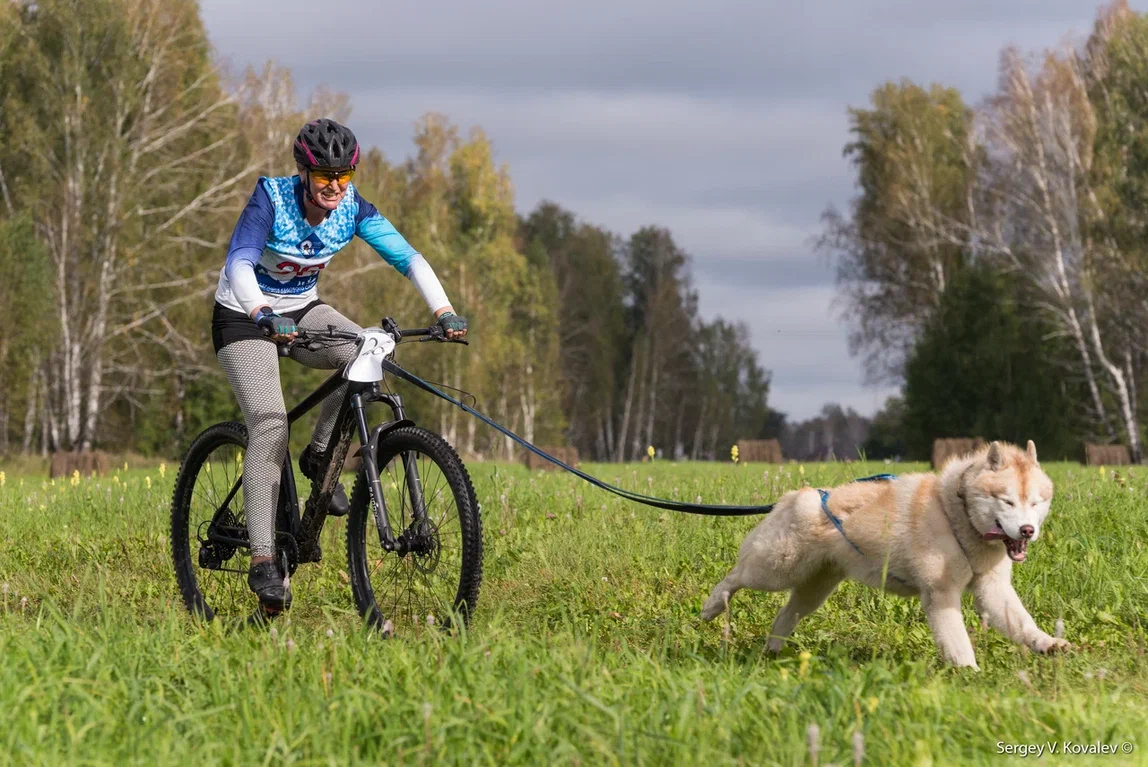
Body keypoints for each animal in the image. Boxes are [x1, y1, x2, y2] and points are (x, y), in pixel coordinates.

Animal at [697, 440, 1065, 665]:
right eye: (1008, 501)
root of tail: (796, 495)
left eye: (1036, 502)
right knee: (735, 577)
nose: (1027, 531)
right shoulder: (941, 593)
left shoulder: (992, 590)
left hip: (815, 587)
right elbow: (957, 640)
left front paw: (1046, 643)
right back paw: (712, 606)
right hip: (777, 569)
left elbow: (1022, 622)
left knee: (786, 614)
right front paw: (968, 671)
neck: (955, 514)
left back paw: (773, 651)